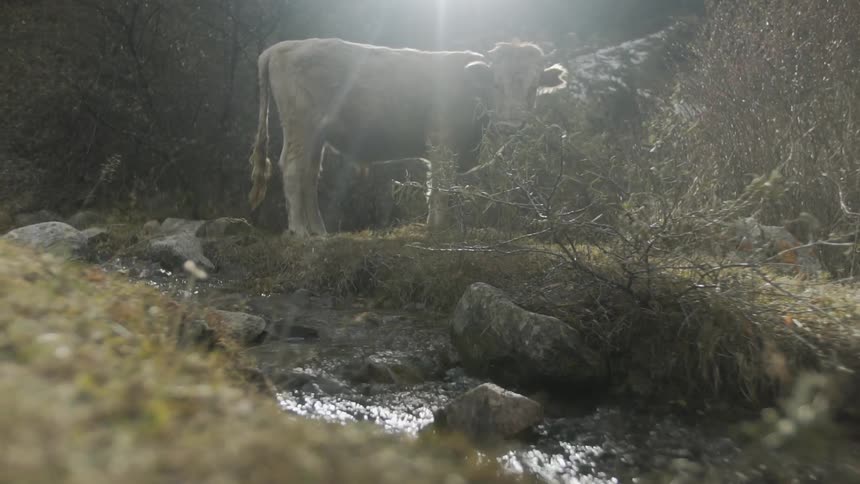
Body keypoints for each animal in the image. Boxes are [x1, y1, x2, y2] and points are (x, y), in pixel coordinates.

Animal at [248, 38, 567, 237]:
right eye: (496, 84)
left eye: (533, 88)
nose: (511, 124)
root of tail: (283, 46)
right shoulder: (442, 141)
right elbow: (440, 187)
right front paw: (439, 228)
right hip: (301, 127)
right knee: (293, 169)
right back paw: (300, 231)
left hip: (316, 135)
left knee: (309, 175)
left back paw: (319, 232)